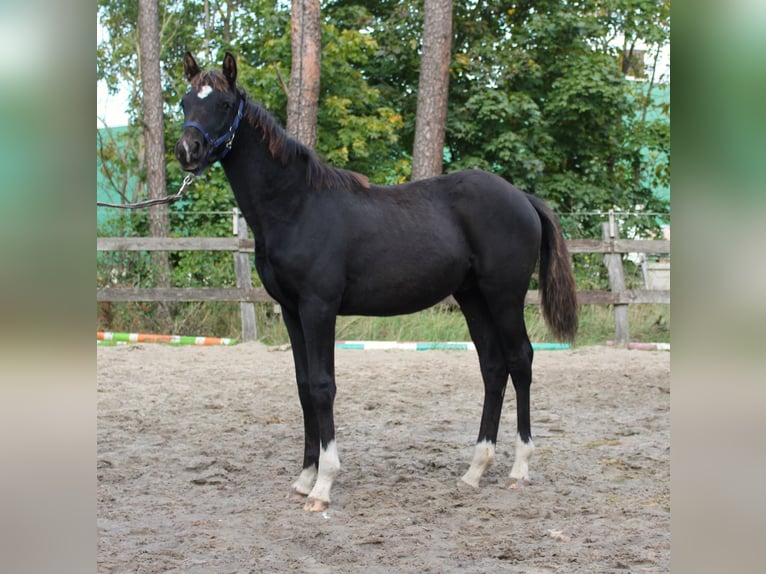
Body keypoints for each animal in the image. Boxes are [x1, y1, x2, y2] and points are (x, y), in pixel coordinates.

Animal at [177, 54, 580, 512]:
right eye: (186, 101)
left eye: (225, 104)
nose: (187, 151)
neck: (297, 205)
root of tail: (522, 198)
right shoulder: (291, 311)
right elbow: (303, 386)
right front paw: (305, 477)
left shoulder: (319, 307)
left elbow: (322, 386)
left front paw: (323, 485)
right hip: (473, 297)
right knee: (493, 368)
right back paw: (475, 470)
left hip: (505, 297)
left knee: (520, 361)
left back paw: (519, 468)